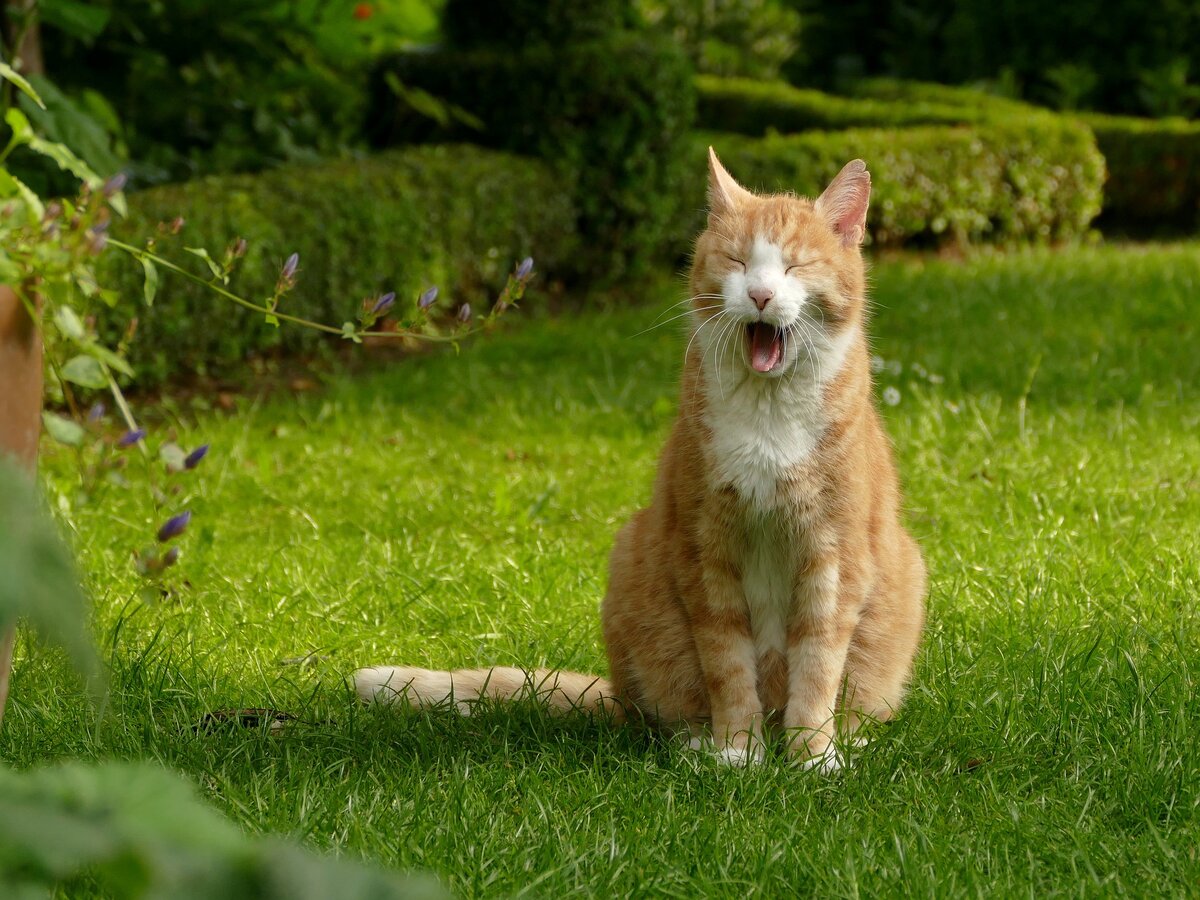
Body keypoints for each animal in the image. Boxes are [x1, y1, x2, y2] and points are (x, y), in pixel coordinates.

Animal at [350, 151, 921, 772]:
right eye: (739, 261)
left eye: (794, 266)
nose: (761, 296)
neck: (768, 417)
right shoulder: (703, 547)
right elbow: (726, 663)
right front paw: (736, 753)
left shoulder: (833, 554)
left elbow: (818, 664)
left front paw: (813, 757)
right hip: (634, 562)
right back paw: (704, 741)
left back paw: (840, 740)